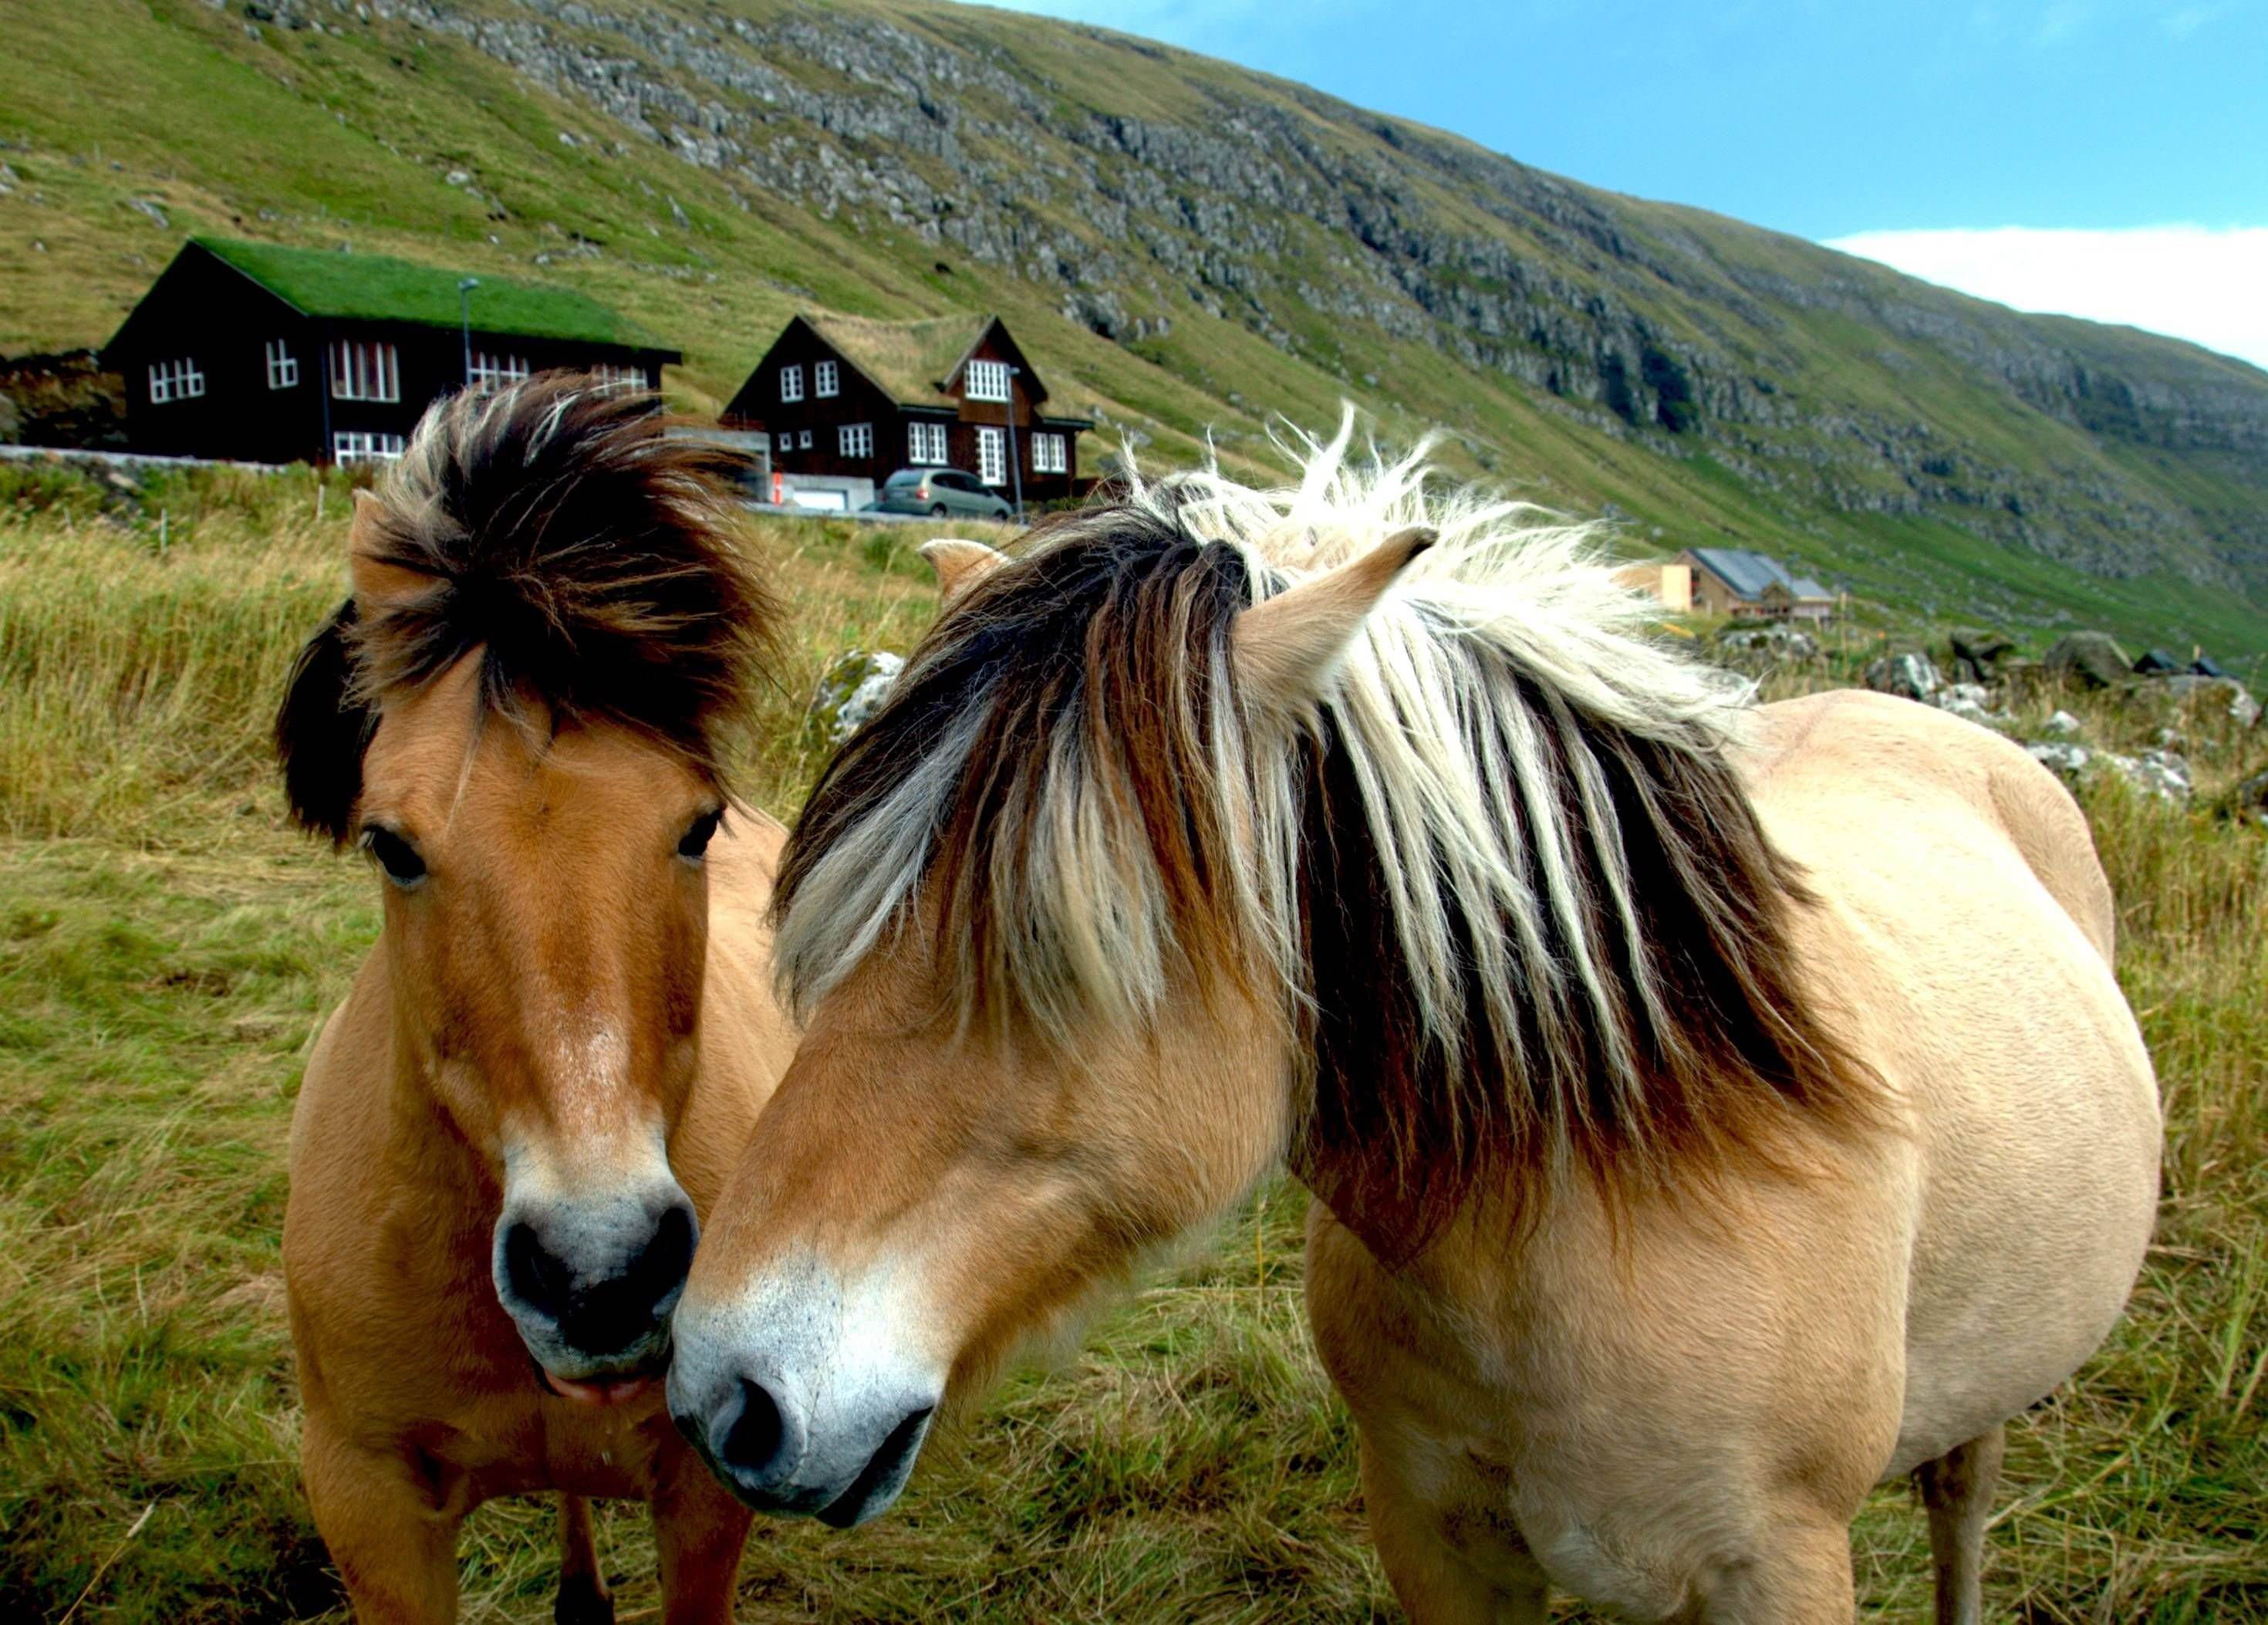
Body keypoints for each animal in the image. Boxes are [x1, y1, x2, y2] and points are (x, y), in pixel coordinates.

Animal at [662, 424, 2150, 1616]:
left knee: (1962, 1509)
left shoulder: (1777, 1569)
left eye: (1058, 944)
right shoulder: (1435, 1533)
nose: (724, 1391)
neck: (1592, 1217)